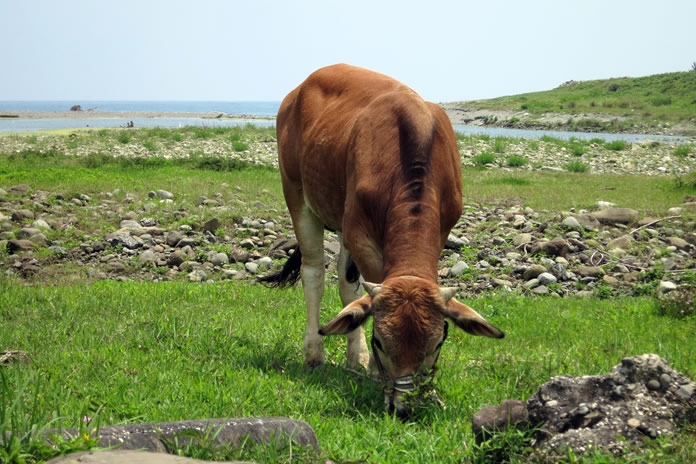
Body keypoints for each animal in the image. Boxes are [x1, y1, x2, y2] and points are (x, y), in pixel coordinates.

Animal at [258, 64, 502, 416]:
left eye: (437, 343)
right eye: (381, 342)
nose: (404, 407)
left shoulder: (442, 228)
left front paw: (365, 362)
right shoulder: (361, 236)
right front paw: (374, 368)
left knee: (346, 284)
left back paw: (354, 359)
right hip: (297, 194)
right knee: (314, 274)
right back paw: (314, 353)